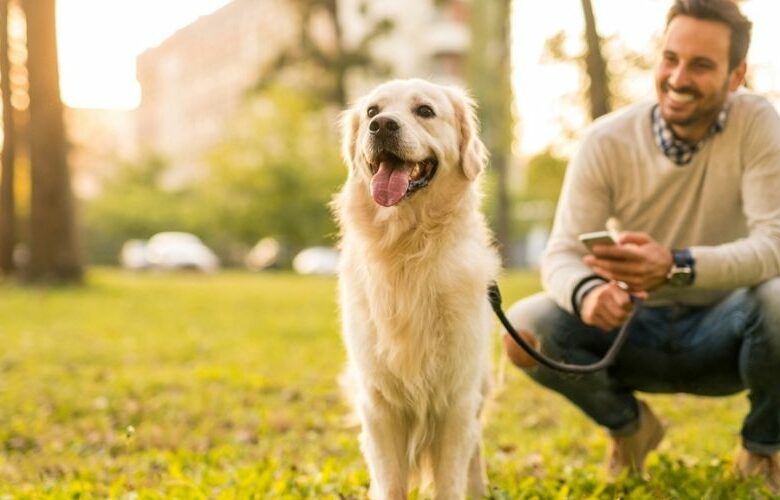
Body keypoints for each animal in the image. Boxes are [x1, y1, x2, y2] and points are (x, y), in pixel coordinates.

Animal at [330, 80, 500, 498]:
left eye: (424, 111)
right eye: (372, 112)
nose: (381, 127)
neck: (407, 250)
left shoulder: (456, 398)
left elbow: (451, 481)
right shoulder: (378, 403)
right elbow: (390, 483)